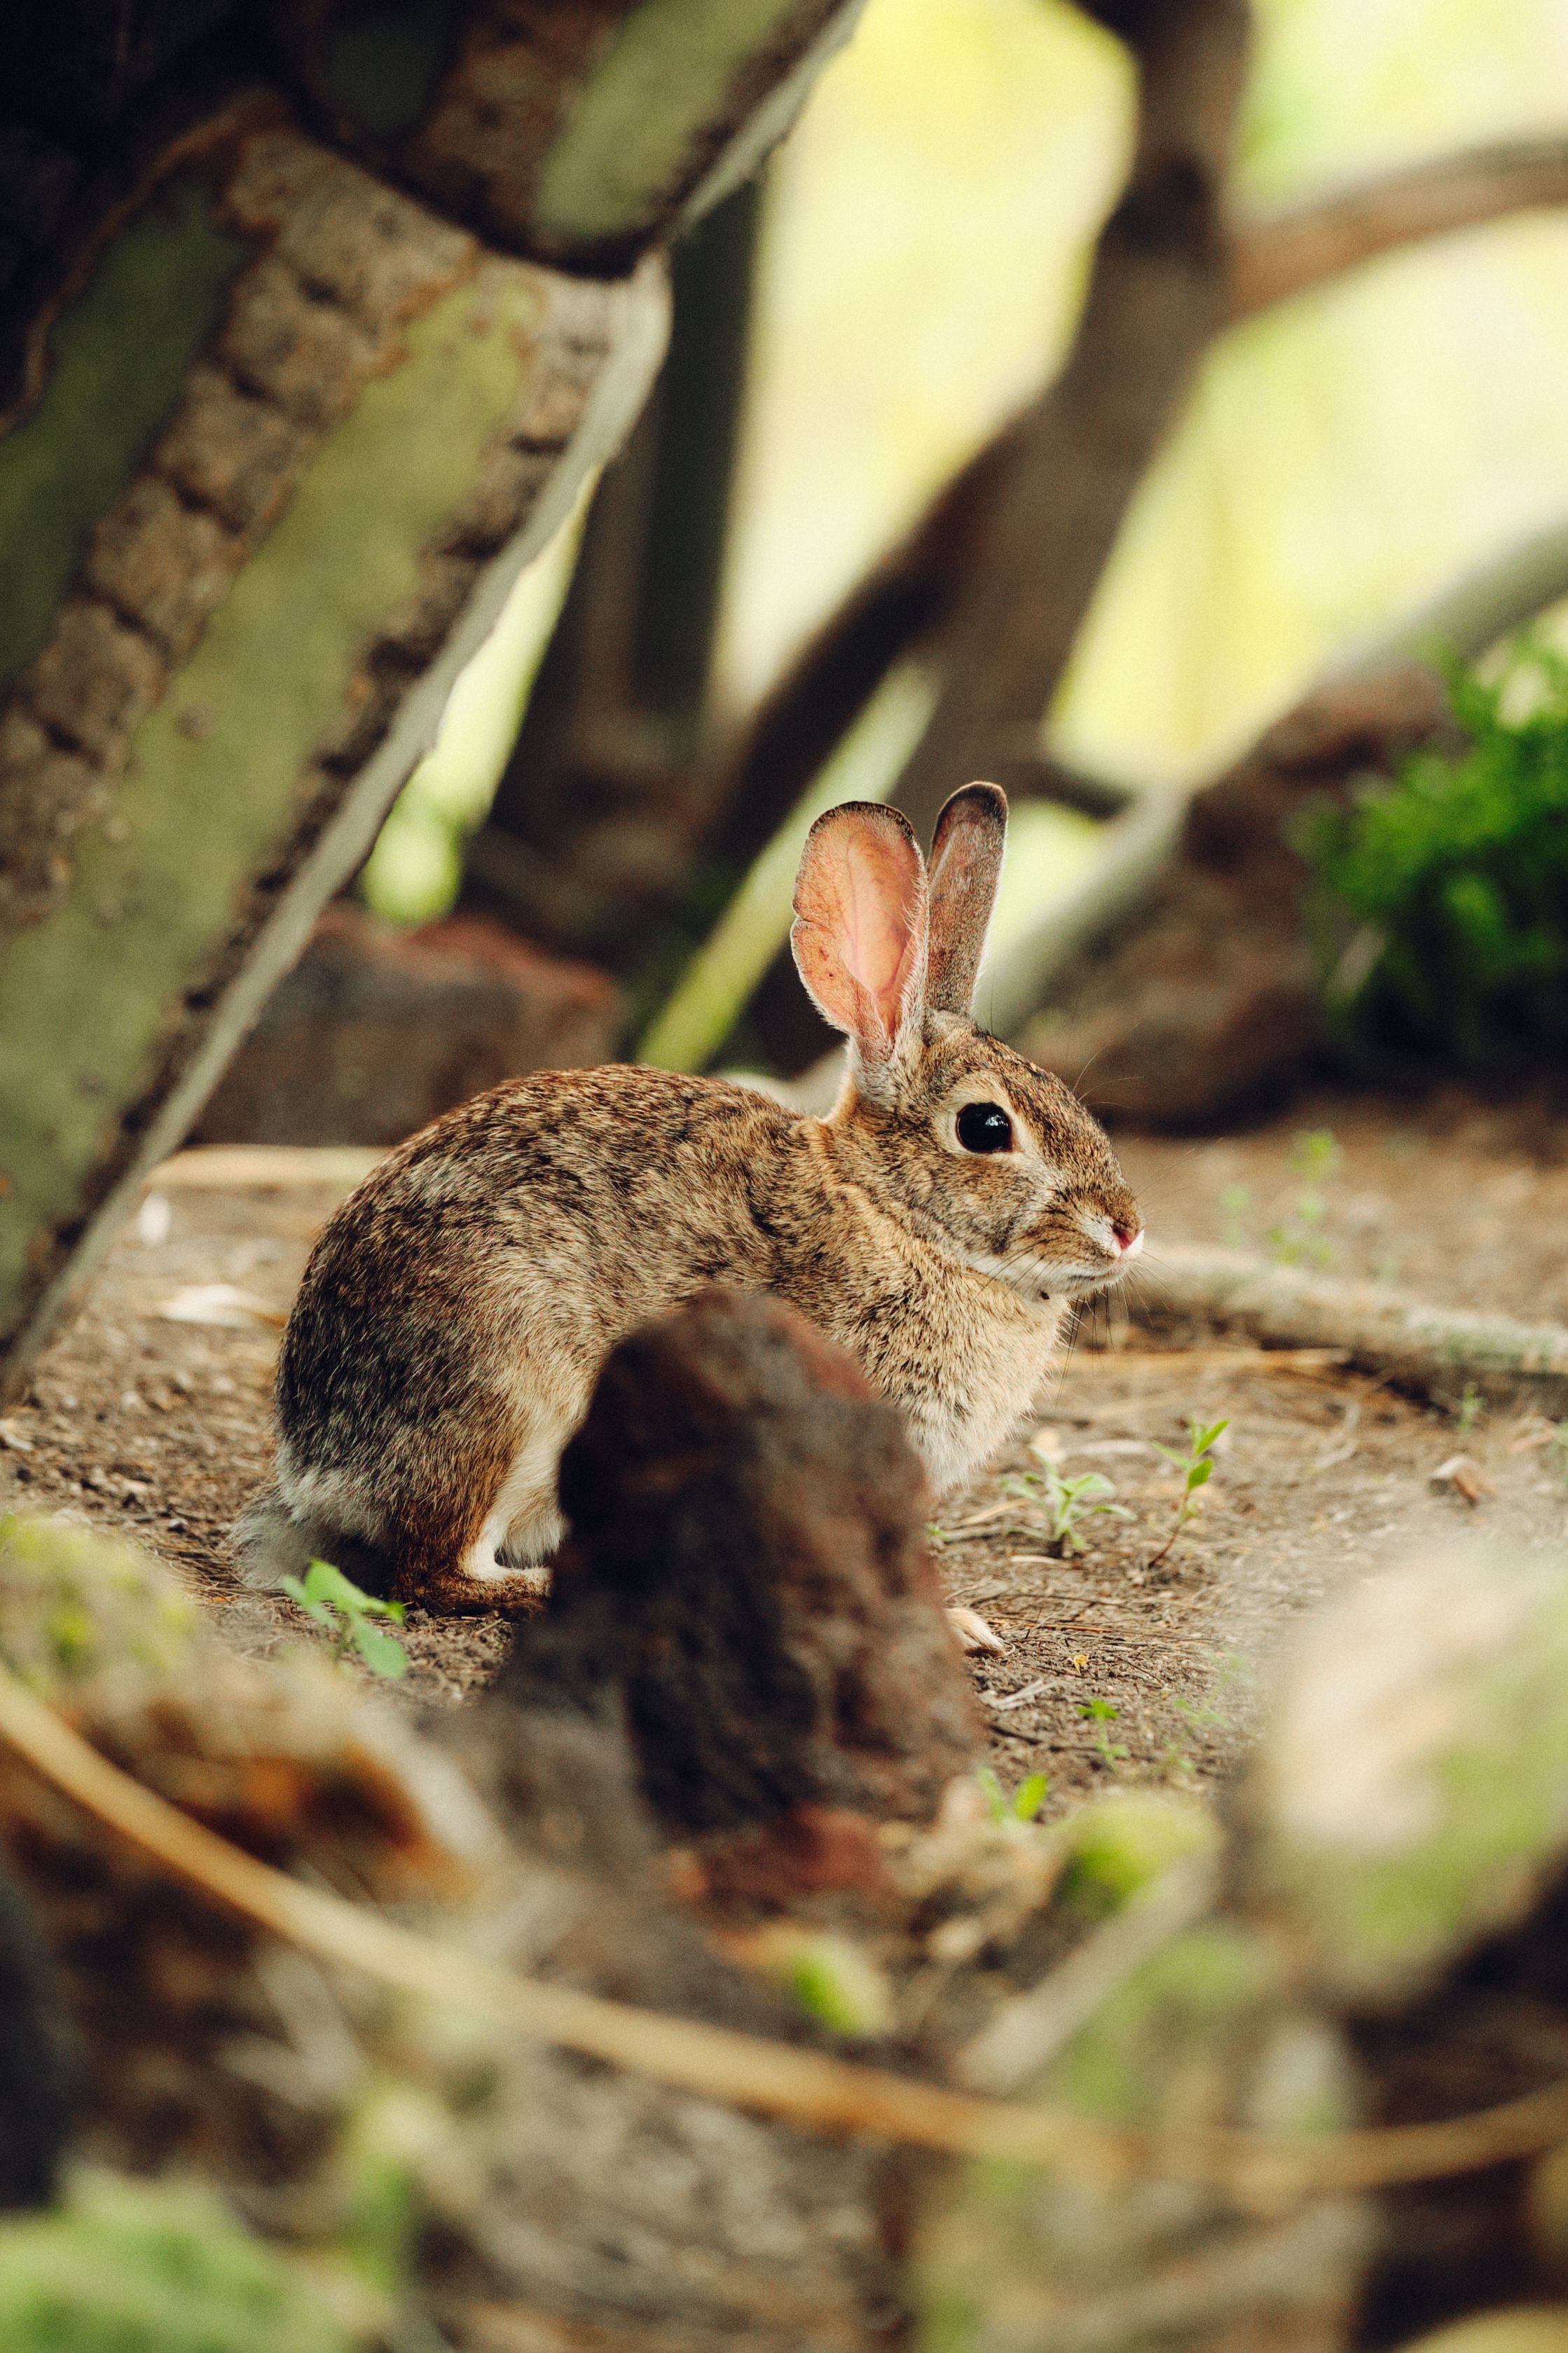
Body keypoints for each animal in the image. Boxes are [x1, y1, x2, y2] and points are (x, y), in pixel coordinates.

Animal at [234, 783, 1143, 1616]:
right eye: (986, 1127)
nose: (1127, 1230)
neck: (892, 1211)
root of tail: (316, 1455)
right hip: (507, 1393)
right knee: (433, 1569)